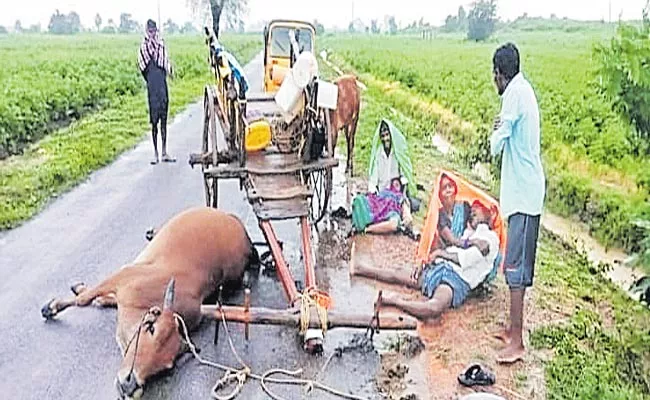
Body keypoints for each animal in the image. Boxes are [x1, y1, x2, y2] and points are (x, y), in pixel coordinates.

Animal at [39, 208, 258, 398]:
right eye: (151, 328)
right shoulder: (123, 275)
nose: (131, 385)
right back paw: (152, 232)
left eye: (168, 367)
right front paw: (52, 306)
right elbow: (83, 300)